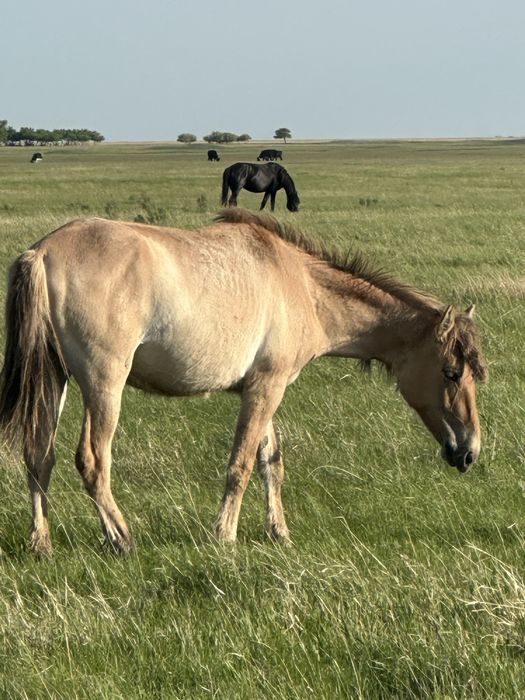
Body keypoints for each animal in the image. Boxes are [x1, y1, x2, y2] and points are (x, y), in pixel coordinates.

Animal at [0, 209, 486, 556]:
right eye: (451, 372)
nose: (469, 451)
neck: (302, 287)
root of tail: (42, 252)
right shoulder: (267, 387)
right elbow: (242, 465)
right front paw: (225, 536)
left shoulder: (263, 388)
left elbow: (271, 462)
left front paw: (279, 533)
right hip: (104, 385)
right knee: (93, 461)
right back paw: (122, 538)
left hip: (54, 380)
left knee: (39, 455)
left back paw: (41, 544)